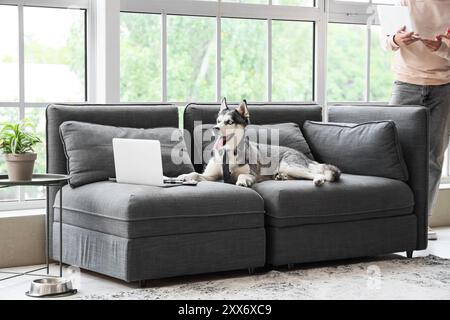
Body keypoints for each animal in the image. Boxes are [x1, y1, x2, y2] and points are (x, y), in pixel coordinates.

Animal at [178, 98, 340, 188]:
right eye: (218, 121)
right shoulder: (212, 176)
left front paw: (242, 181)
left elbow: (243, 176)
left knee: (316, 174)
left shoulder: (252, 174)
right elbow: (195, 174)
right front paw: (184, 176)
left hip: (289, 165)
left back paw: (318, 179)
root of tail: (303, 156)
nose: (215, 128)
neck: (229, 153)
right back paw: (282, 177)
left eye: (229, 122)